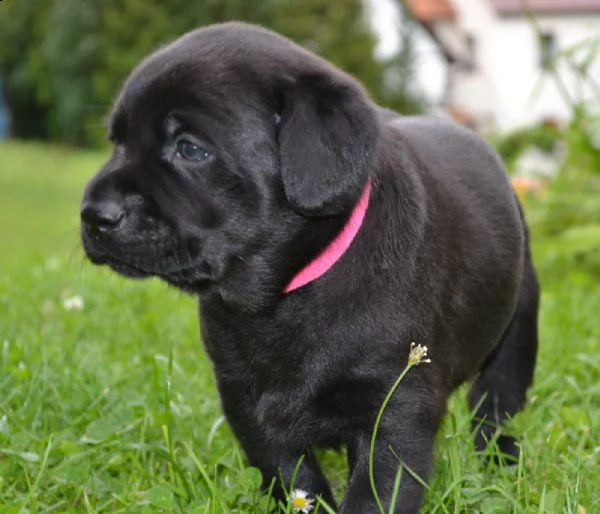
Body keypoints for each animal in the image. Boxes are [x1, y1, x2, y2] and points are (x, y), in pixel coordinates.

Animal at [78, 22, 540, 512]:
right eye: (117, 143)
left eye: (190, 149)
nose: (94, 215)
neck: (287, 294)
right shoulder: (244, 399)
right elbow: (292, 477)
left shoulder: (397, 407)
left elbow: (375, 494)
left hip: (517, 324)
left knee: (497, 404)